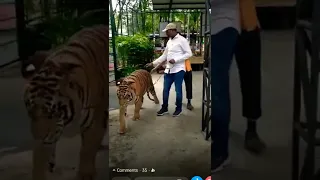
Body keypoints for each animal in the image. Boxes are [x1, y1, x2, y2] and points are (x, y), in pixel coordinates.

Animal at [22, 25, 109, 180]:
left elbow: (87, 151)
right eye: (31, 111)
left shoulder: (95, 121)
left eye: (52, 113)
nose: (39, 136)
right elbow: (39, 157)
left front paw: (86, 174)